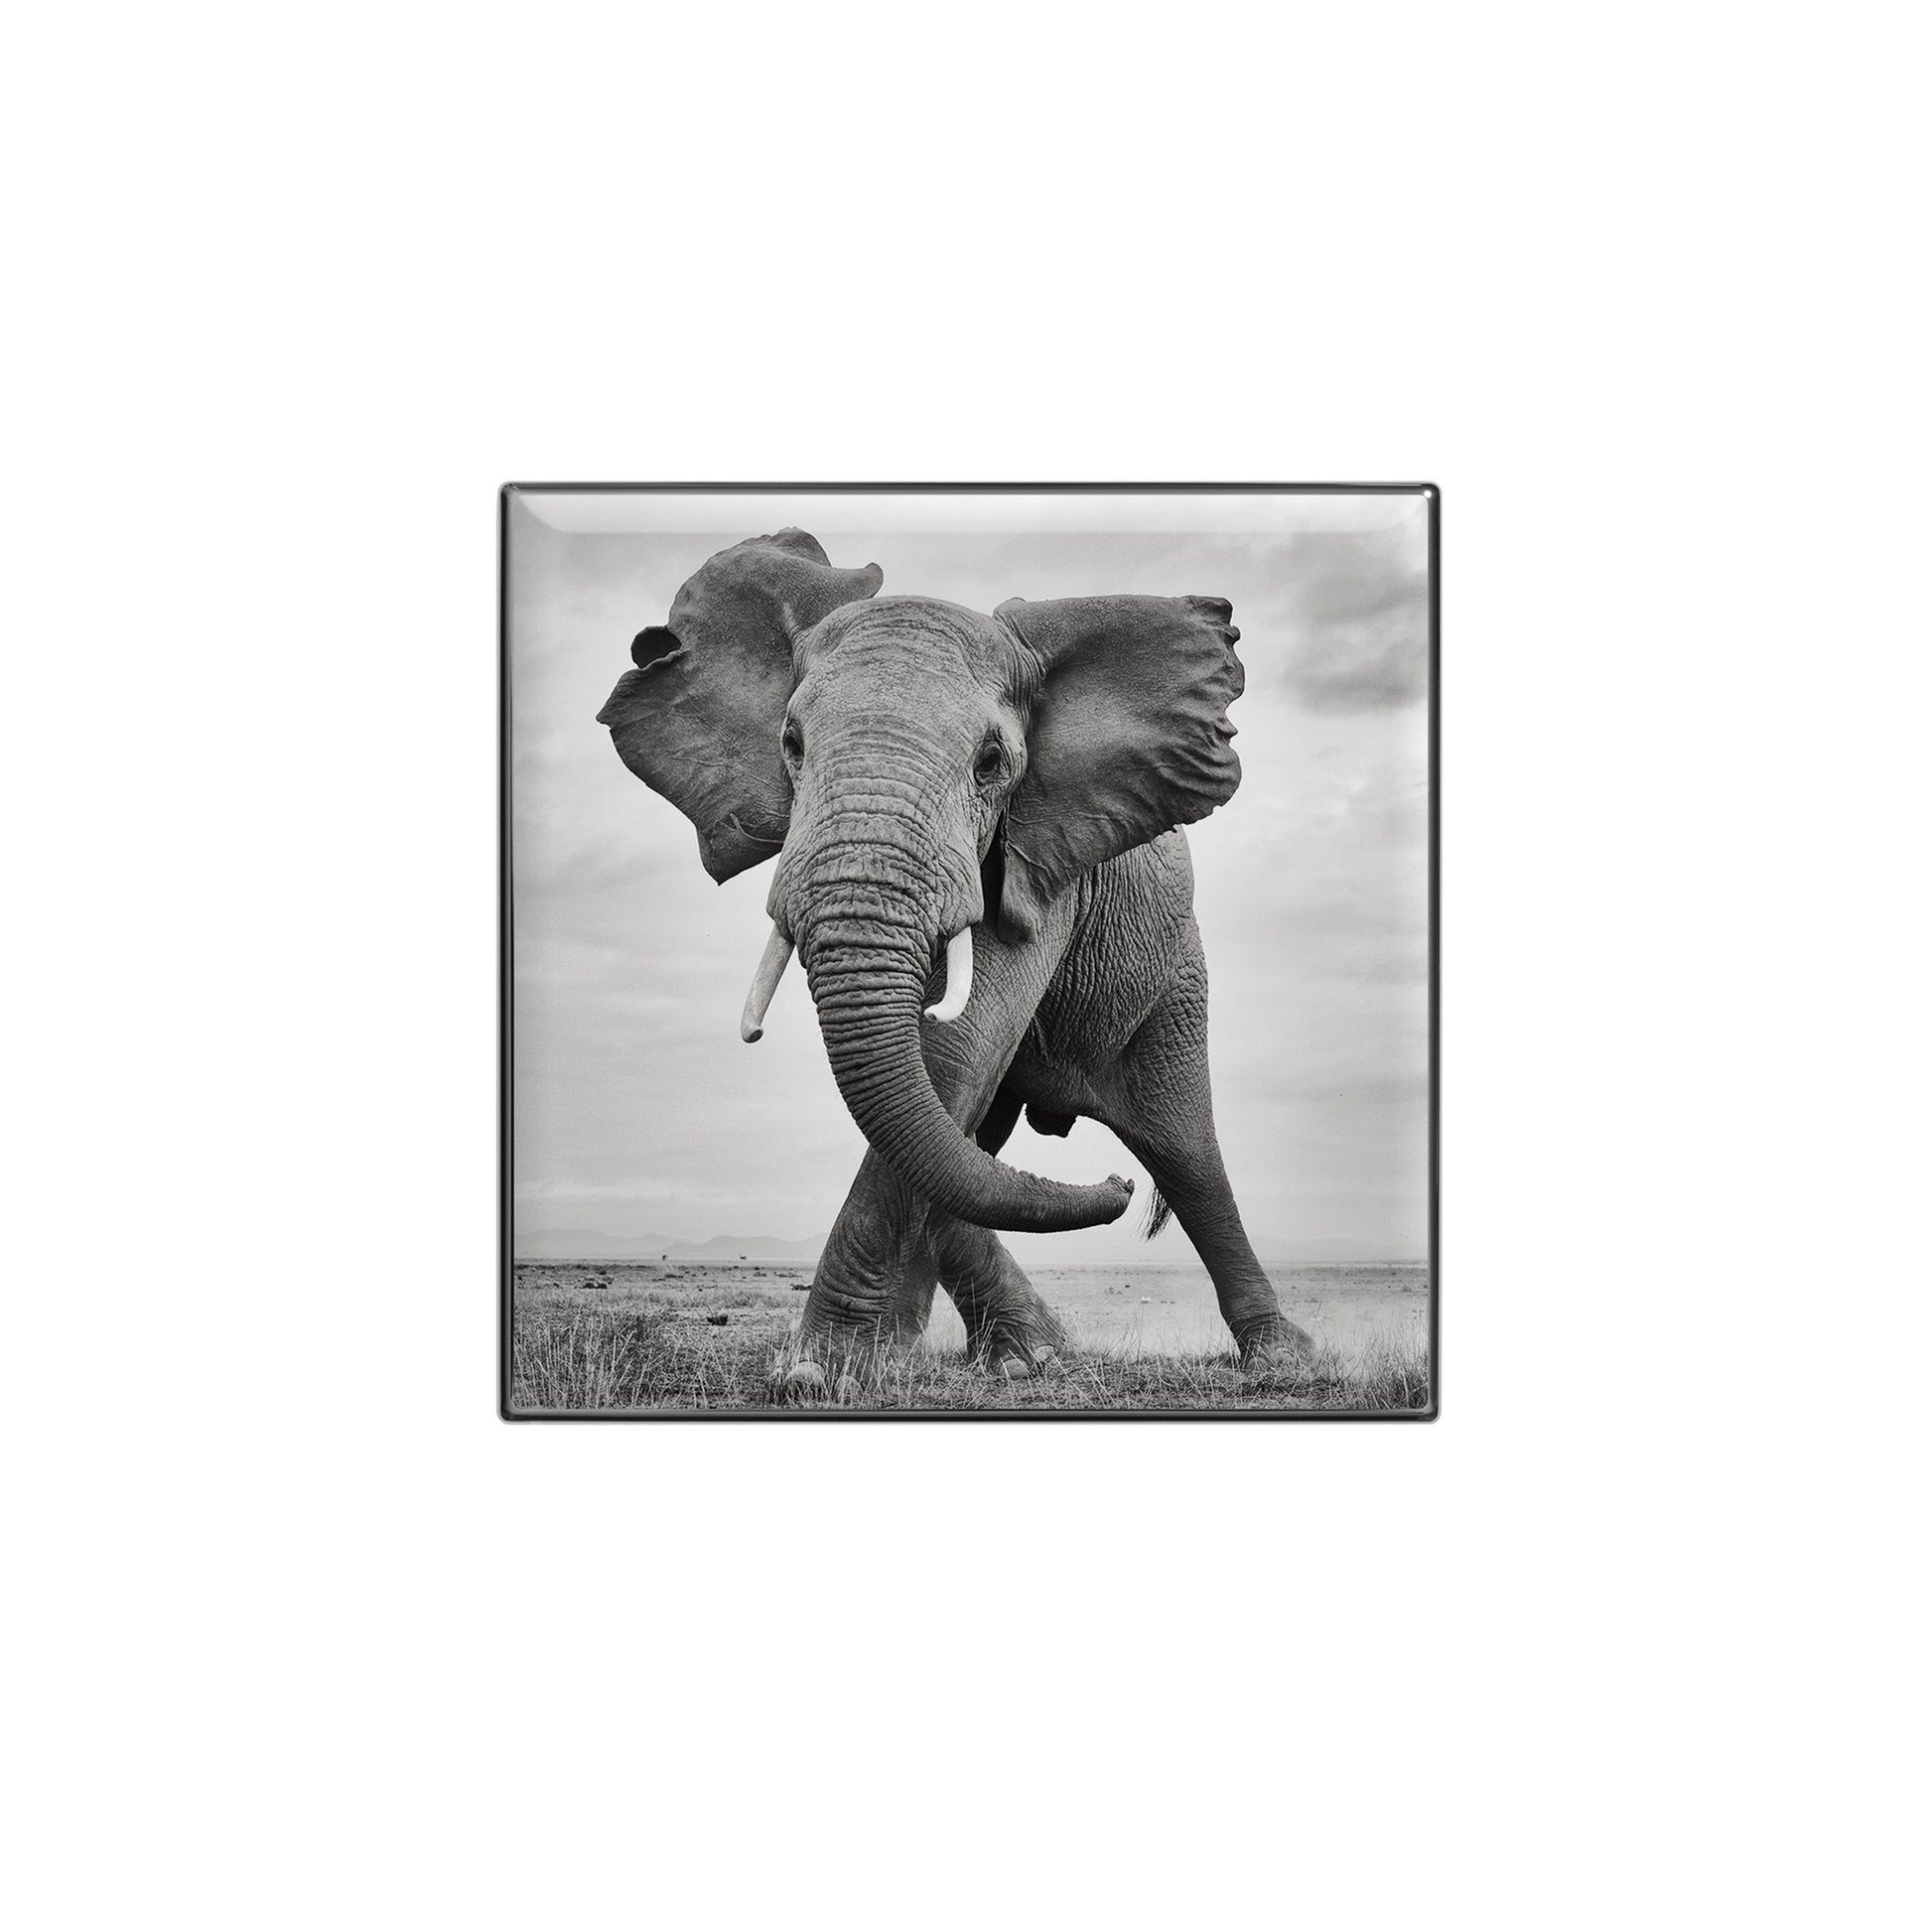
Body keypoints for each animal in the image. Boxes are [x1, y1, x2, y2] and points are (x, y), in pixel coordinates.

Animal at [596, 528, 1312, 1394]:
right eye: (791, 746)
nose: (1114, 1188)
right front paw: (871, 1364)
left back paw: (1283, 1360)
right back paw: (1003, 1351)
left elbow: (953, 1052)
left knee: (1184, 1151)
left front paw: (822, 1372)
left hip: (1172, 972)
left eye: (991, 762)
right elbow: (940, 1103)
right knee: (979, 1143)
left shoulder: (1038, 858)